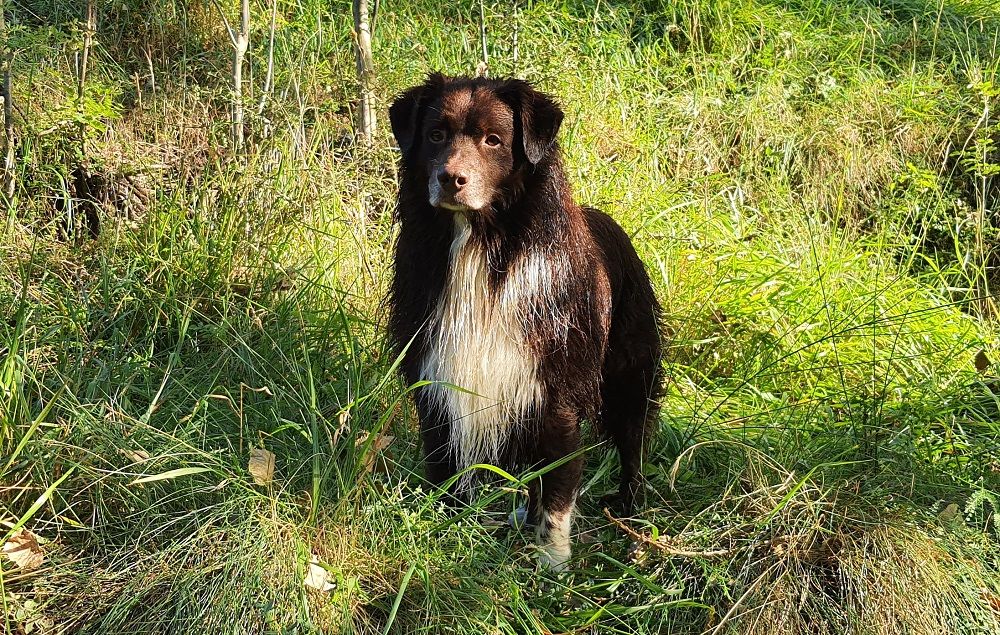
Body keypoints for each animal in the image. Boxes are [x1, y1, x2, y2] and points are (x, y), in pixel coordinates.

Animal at [386, 74, 660, 572]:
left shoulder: (552, 389)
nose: (450, 179)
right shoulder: (436, 378)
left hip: (631, 372)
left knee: (633, 445)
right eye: (436, 134)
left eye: (493, 140)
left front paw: (552, 561)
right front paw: (444, 529)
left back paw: (632, 516)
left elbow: (558, 481)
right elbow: (444, 464)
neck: (482, 244)